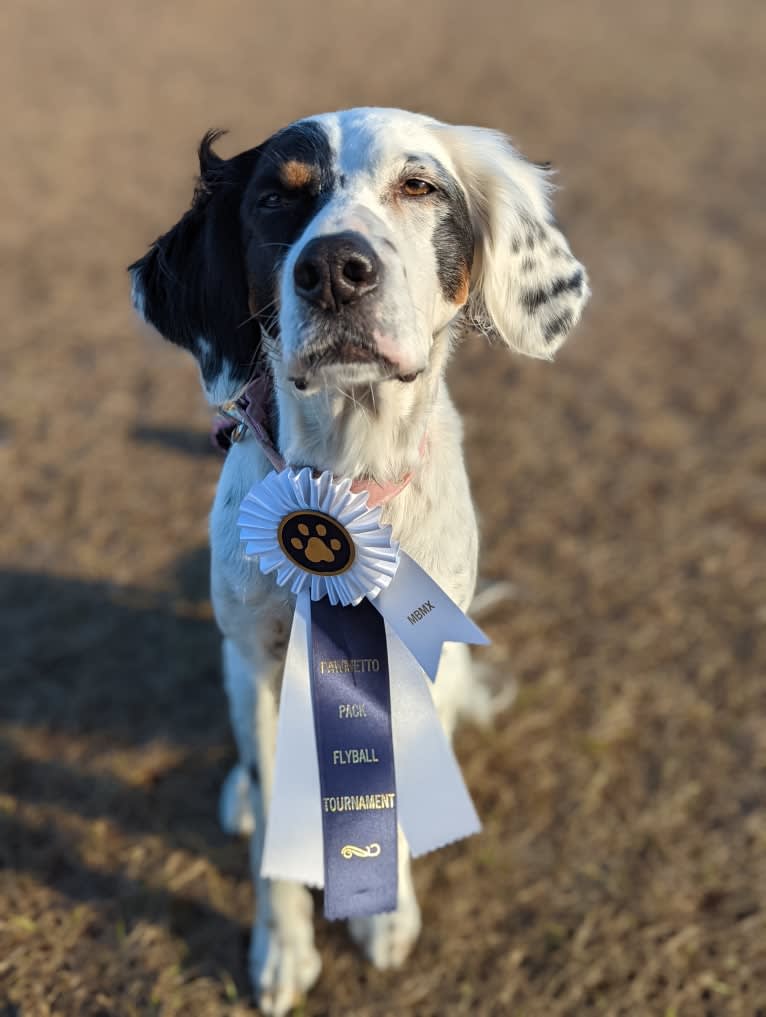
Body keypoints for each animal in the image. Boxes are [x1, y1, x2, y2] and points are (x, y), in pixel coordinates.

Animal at [128, 107, 590, 1012]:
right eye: (276, 198)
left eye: (419, 185)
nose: (335, 271)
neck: (348, 481)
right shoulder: (258, 662)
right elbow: (274, 836)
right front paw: (281, 952)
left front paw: (386, 916)